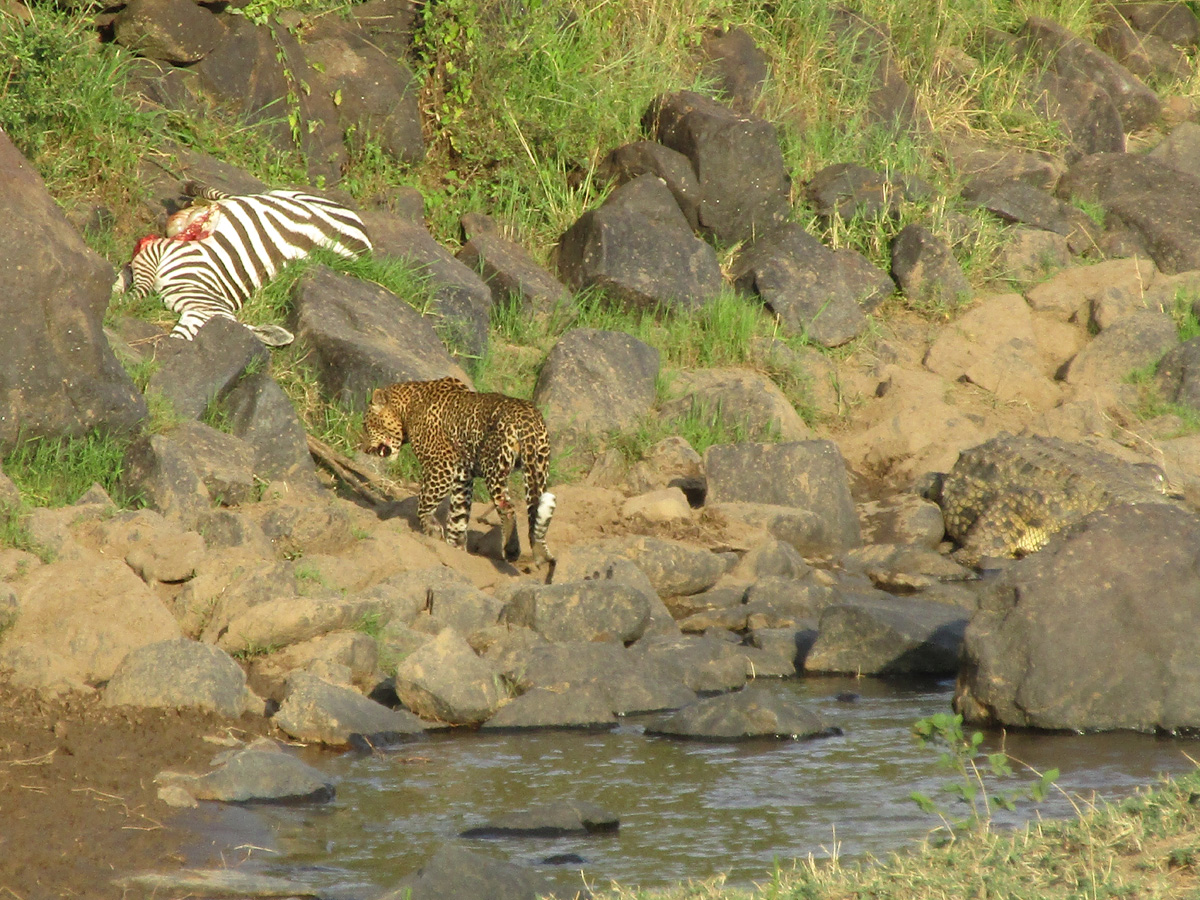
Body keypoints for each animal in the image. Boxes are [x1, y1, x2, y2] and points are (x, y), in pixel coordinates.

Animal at [113, 181, 373, 346]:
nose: (175, 344)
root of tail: (365, 239)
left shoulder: (155, 252)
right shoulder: (158, 252)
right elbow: (133, 286)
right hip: (288, 196)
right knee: (231, 197)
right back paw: (193, 191)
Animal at [363, 376, 556, 566]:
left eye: (366, 425)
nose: (365, 449)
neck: (408, 408)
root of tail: (527, 415)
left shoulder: (440, 465)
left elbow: (424, 502)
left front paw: (432, 531)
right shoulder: (463, 477)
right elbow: (458, 515)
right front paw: (455, 548)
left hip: (494, 466)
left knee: (507, 507)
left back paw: (512, 550)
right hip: (538, 465)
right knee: (534, 510)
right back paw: (540, 552)